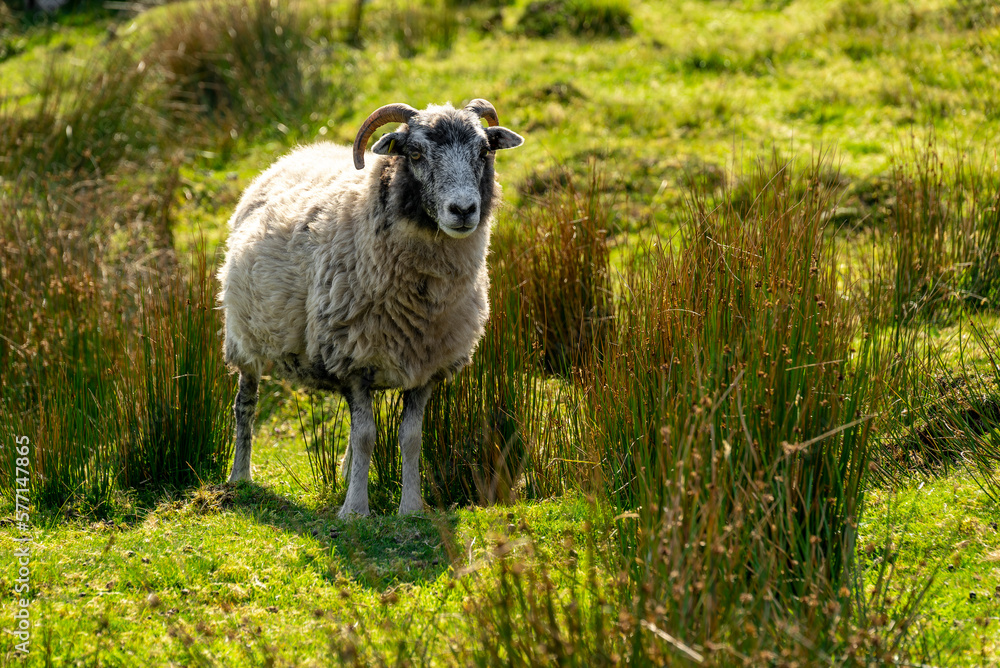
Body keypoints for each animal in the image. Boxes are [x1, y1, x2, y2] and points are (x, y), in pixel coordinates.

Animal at [217, 99, 524, 518]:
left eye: (483, 152)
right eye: (415, 153)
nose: (463, 210)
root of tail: (298, 153)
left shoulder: (425, 368)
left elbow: (410, 438)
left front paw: (410, 507)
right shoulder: (352, 362)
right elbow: (365, 436)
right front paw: (355, 511)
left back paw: (346, 474)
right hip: (243, 338)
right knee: (245, 406)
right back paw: (240, 477)